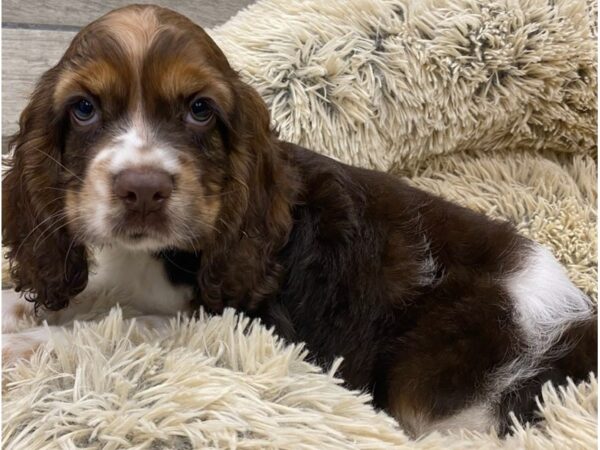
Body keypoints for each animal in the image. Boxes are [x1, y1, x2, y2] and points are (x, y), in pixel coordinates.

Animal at [2, 5, 596, 438]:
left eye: (200, 110)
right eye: (84, 109)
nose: (143, 189)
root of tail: (574, 320)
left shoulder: (250, 322)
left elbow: (121, 326)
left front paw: (26, 344)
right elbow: (89, 297)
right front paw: (18, 311)